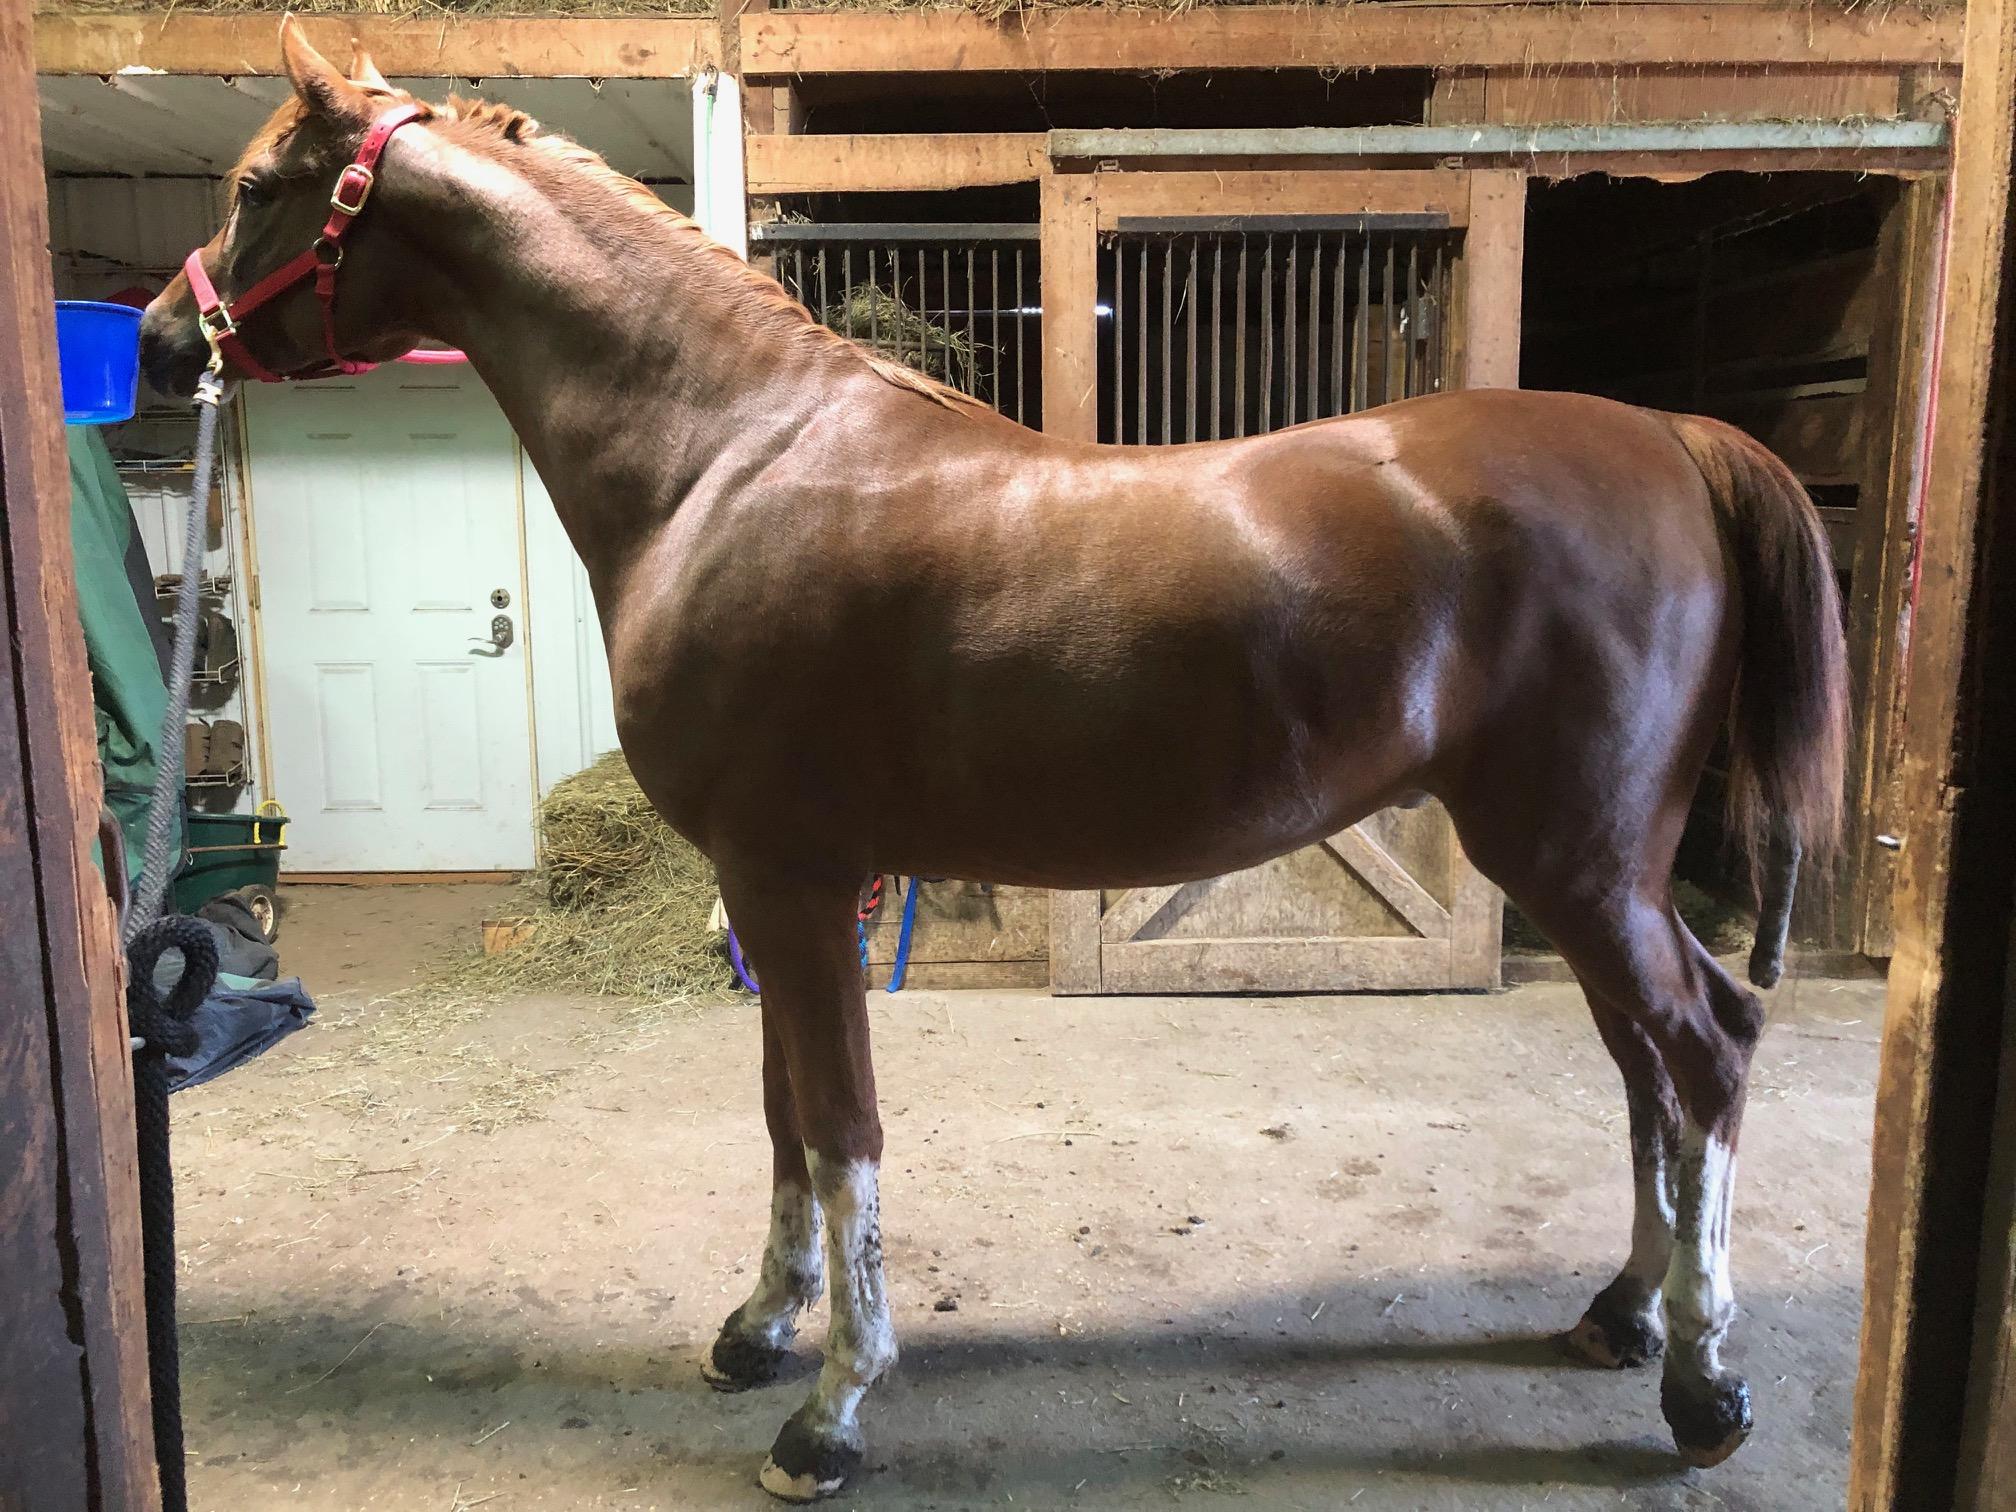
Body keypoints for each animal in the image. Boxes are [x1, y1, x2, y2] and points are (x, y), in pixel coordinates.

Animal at [139, 23, 1848, 1502]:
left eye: (255, 185)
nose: (160, 339)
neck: (726, 462)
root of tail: (1670, 440)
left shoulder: (787, 877)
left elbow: (839, 1129)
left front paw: (831, 1411)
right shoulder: (792, 891)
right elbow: (785, 1116)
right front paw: (759, 1333)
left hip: (1577, 861)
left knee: (1706, 1055)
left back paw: (1702, 1385)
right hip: (1591, 872)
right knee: (1646, 1073)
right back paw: (1621, 1314)